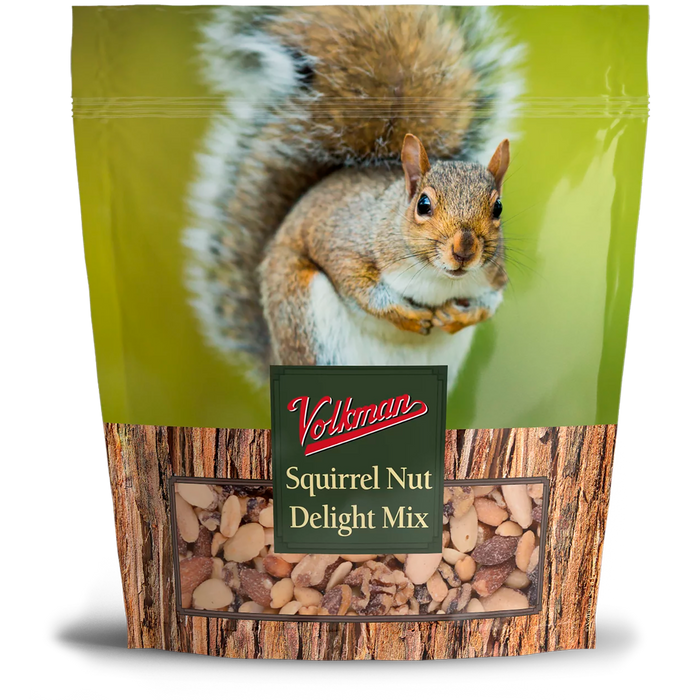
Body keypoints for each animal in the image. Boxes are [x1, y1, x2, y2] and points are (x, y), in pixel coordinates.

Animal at [184, 4, 522, 392]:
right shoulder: (344, 240)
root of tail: (276, 356)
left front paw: (462, 316)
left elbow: (491, 300)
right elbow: (358, 285)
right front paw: (404, 314)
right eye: (423, 205)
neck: (438, 278)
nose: (464, 250)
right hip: (307, 322)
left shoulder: (493, 275)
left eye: (497, 208)